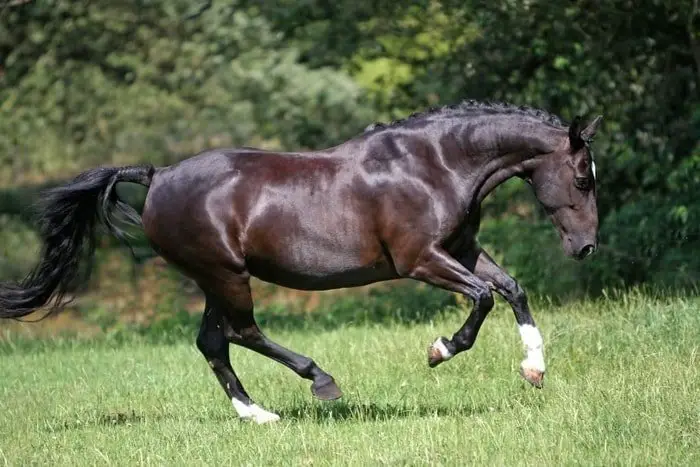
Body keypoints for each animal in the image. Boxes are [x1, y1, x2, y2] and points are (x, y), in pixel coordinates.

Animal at [0, 100, 602, 423]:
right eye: (581, 178)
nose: (586, 248)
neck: (433, 165)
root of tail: (158, 176)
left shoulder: (460, 249)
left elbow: (512, 289)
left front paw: (535, 370)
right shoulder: (419, 260)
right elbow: (480, 299)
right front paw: (439, 350)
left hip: (213, 280)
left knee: (213, 342)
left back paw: (258, 414)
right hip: (225, 274)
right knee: (240, 332)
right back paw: (321, 382)